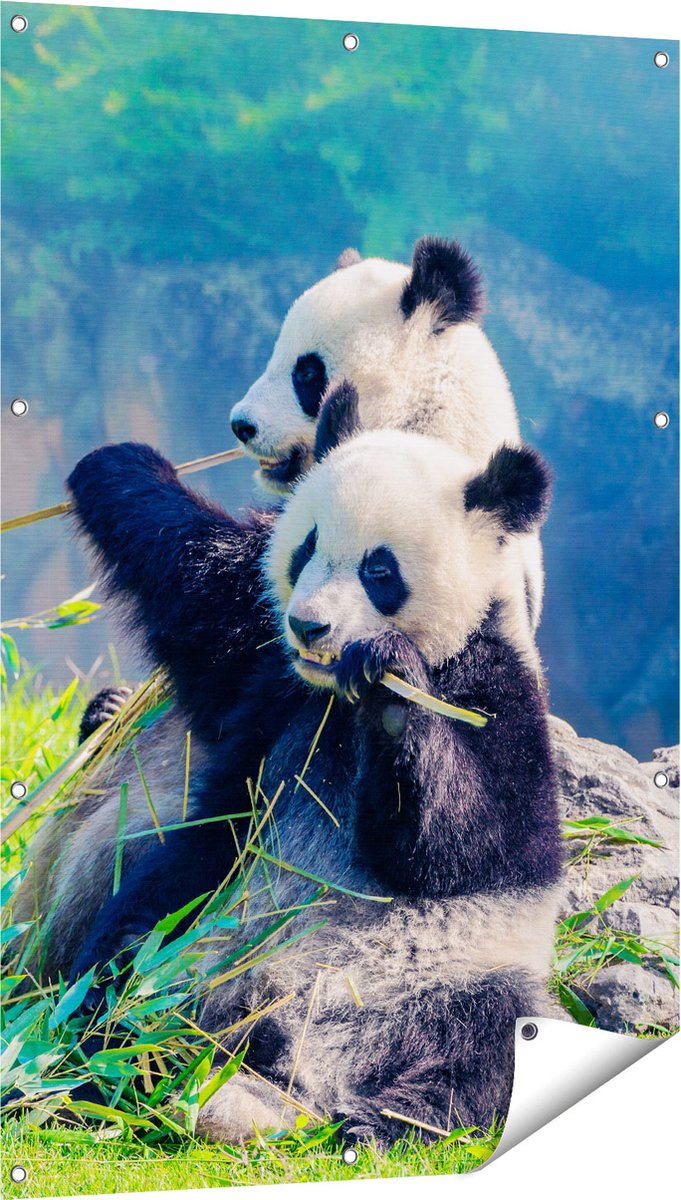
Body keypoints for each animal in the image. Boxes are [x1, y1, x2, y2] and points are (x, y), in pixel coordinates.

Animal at [66, 385, 562, 1144]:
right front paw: (120, 464)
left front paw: (392, 686)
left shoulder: (495, 686)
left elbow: (475, 845)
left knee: (496, 1039)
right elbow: (202, 596)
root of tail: (289, 1057)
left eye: (379, 570)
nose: (309, 626)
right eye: (305, 549)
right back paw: (112, 1064)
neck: (335, 699)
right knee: (127, 954)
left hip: (446, 978)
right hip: (200, 919)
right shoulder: (273, 685)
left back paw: (379, 1122)